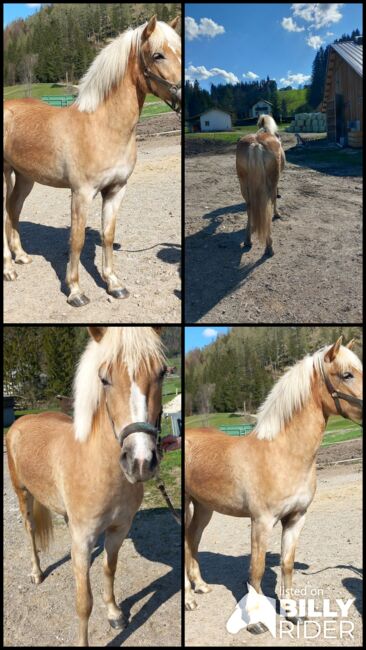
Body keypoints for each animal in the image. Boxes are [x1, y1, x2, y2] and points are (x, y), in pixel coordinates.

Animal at [2, 17, 180, 306]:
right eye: (158, 55)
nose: (184, 94)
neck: (102, 127)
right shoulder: (81, 193)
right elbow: (77, 239)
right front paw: (75, 290)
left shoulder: (116, 190)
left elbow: (108, 235)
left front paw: (114, 284)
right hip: (5, 174)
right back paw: (8, 269)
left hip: (26, 177)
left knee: (13, 210)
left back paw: (21, 256)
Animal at [6, 324, 169, 644]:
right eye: (104, 379)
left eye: (161, 373)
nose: (140, 461)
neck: (99, 468)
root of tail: (22, 422)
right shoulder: (82, 538)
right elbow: (84, 603)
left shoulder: (119, 529)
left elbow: (109, 569)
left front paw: (115, 613)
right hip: (23, 494)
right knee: (30, 531)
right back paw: (36, 572)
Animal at [186, 336, 364, 632]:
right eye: (347, 374)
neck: (282, 454)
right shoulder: (261, 521)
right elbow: (256, 571)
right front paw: (255, 621)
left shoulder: (296, 518)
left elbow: (287, 565)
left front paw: (292, 612)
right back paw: (189, 600)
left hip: (204, 507)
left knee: (192, 539)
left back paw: (199, 585)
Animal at [237, 114, 286, 256]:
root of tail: (256, 144)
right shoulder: (275, 181)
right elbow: (275, 198)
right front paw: (277, 214)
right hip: (271, 182)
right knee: (268, 204)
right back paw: (269, 246)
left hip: (243, 185)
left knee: (250, 206)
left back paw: (248, 240)